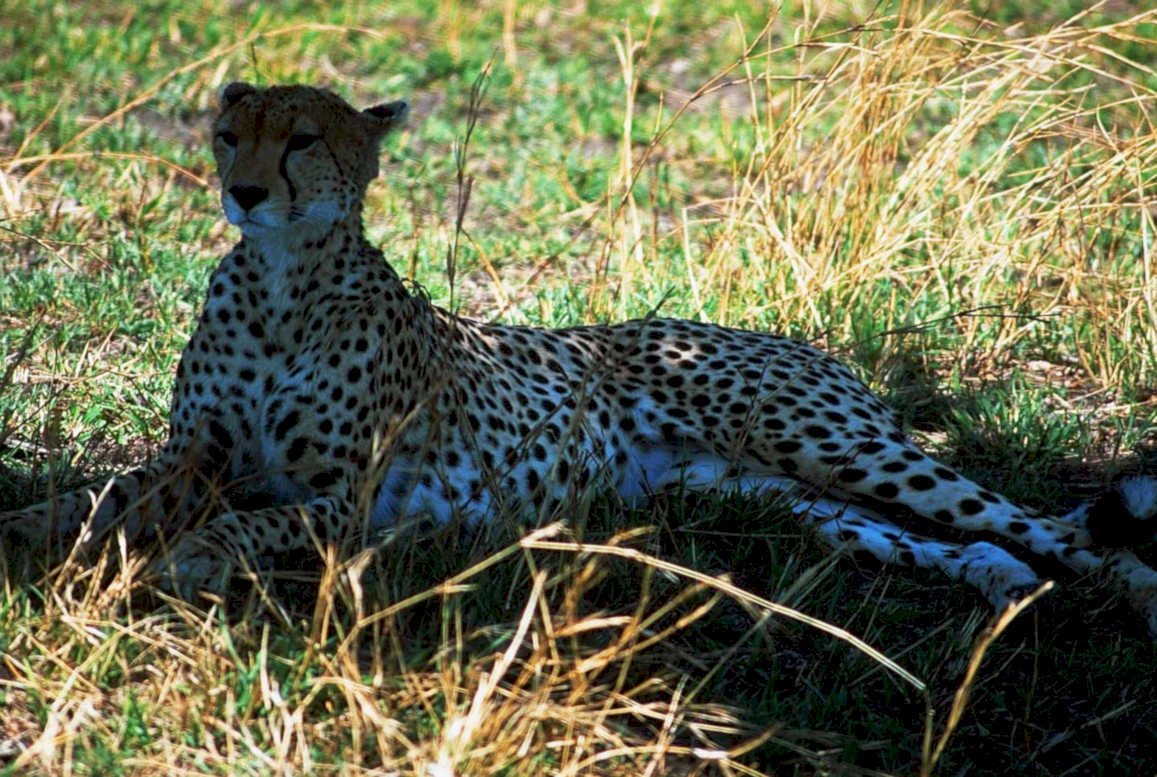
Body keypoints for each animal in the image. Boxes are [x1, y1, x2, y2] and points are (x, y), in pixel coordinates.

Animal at [2, 82, 1156, 635]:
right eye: (228, 133)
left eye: (302, 141)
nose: (242, 190)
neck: (283, 279)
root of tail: (800, 340)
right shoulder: (191, 453)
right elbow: (102, 497)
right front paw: (34, 533)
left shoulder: (348, 502)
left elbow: (247, 522)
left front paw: (183, 560)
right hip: (778, 494)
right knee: (943, 538)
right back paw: (997, 581)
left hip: (831, 445)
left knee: (1049, 525)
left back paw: (1128, 594)